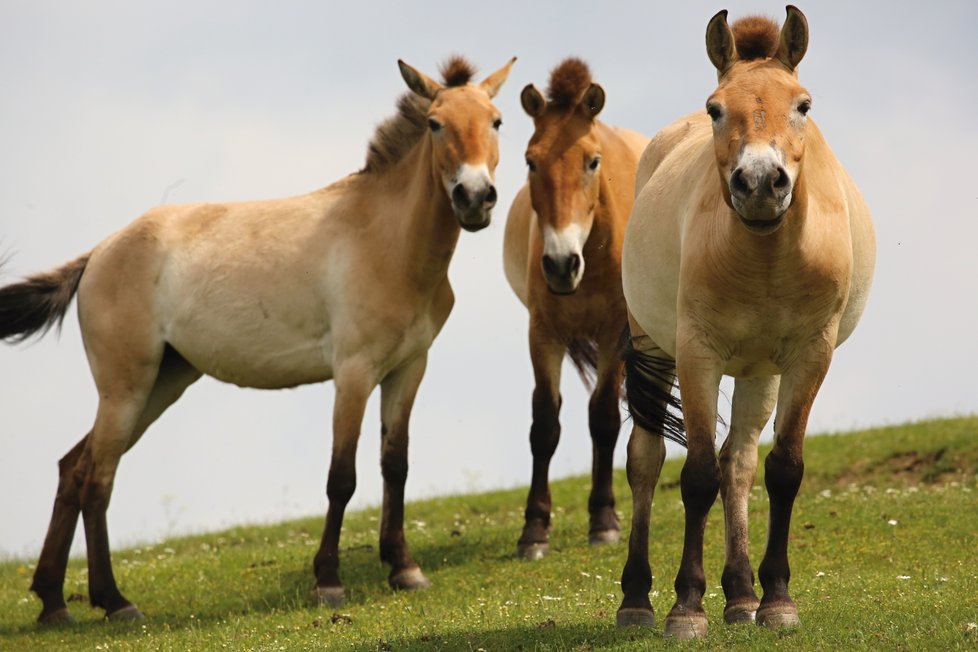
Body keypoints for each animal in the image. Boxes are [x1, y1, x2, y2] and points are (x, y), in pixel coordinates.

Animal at [0, 54, 516, 620]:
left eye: (496, 121)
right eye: (435, 123)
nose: (475, 198)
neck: (387, 240)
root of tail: (99, 253)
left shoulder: (407, 369)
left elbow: (394, 467)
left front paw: (404, 570)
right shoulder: (353, 373)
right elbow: (342, 477)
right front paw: (328, 581)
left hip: (162, 384)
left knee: (73, 467)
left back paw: (54, 604)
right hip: (125, 389)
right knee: (98, 479)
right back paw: (115, 602)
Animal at [504, 58, 648, 560]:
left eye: (592, 161)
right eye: (531, 160)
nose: (561, 264)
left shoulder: (614, 333)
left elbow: (603, 418)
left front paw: (603, 521)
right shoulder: (542, 332)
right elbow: (545, 424)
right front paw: (533, 530)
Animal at [612, 5, 872, 636]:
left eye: (803, 105)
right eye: (715, 108)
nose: (758, 183)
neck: (765, 257)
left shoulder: (809, 355)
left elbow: (782, 469)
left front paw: (776, 598)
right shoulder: (696, 354)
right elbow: (697, 475)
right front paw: (685, 606)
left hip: (760, 372)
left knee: (740, 463)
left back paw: (740, 594)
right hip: (653, 347)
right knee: (647, 460)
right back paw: (636, 600)